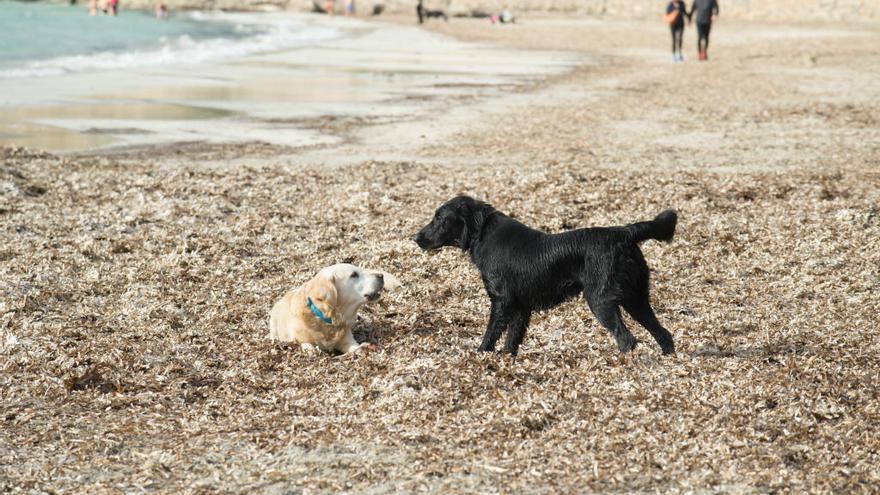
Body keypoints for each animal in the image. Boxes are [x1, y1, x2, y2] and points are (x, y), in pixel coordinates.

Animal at [416, 197, 676, 356]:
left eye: (440, 219)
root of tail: (623, 232)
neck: (482, 233)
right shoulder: (521, 306)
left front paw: (481, 356)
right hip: (635, 297)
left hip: (601, 300)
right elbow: (512, 340)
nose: (416, 237)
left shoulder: (502, 301)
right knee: (664, 334)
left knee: (626, 339)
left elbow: (491, 334)